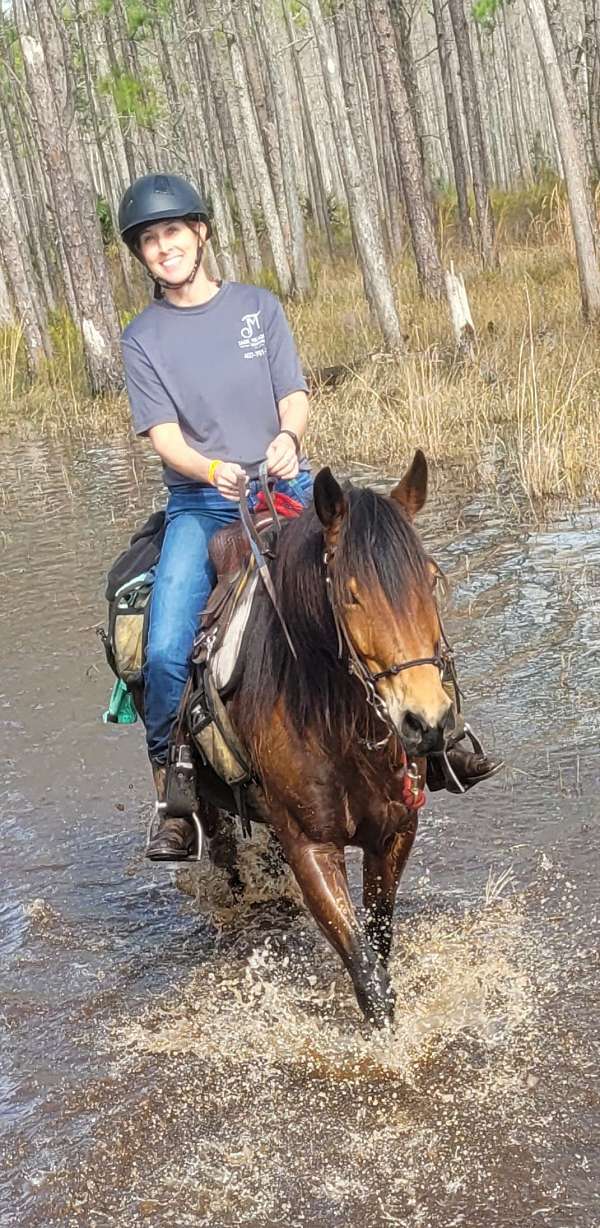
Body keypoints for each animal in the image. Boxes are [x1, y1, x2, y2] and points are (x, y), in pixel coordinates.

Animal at [219, 451, 453, 1026]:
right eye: (350, 594)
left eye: (431, 578)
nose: (427, 721)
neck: (339, 731)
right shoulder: (310, 846)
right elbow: (366, 972)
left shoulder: (394, 832)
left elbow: (380, 940)